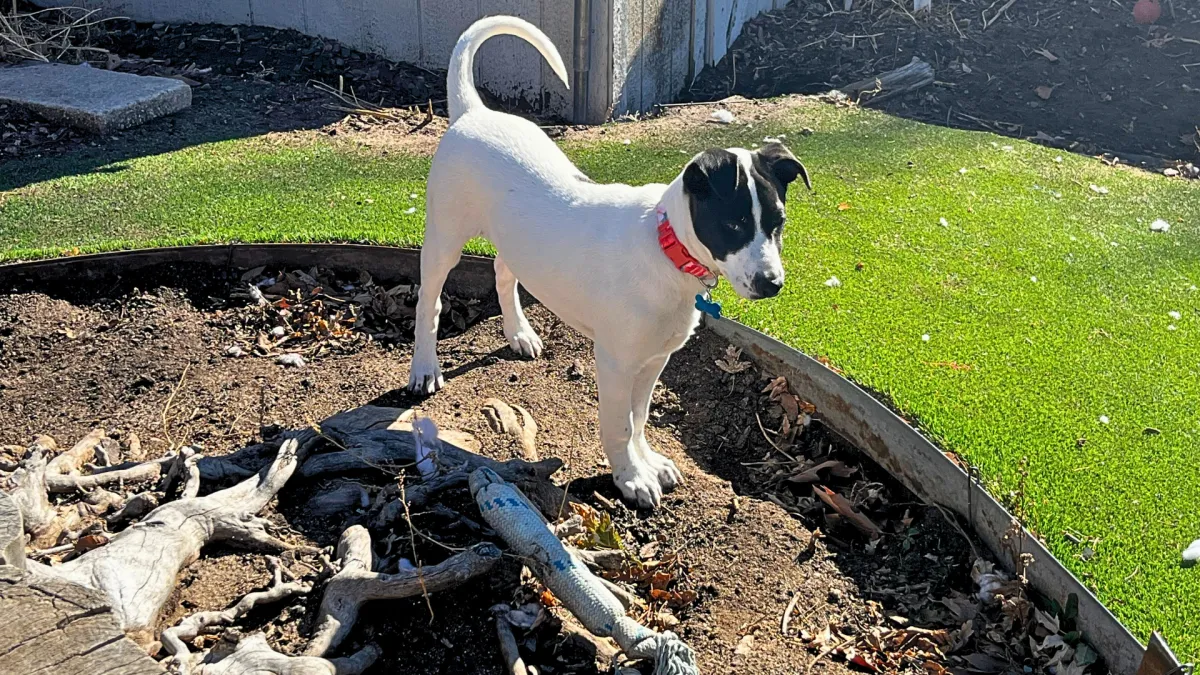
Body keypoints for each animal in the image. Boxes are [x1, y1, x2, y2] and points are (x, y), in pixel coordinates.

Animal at [408, 16, 811, 507]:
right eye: (733, 224)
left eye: (779, 222)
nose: (772, 284)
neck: (665, 250)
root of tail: (473, 112)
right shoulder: (616, 361)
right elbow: (620, 426)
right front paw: (630, 478)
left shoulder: (654, 358)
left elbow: (639, 419)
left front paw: (649, 462)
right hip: (444, 237)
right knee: (429, 302)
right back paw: (425, 368)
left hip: (513, 238)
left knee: (504, 272)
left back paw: (519, 333)